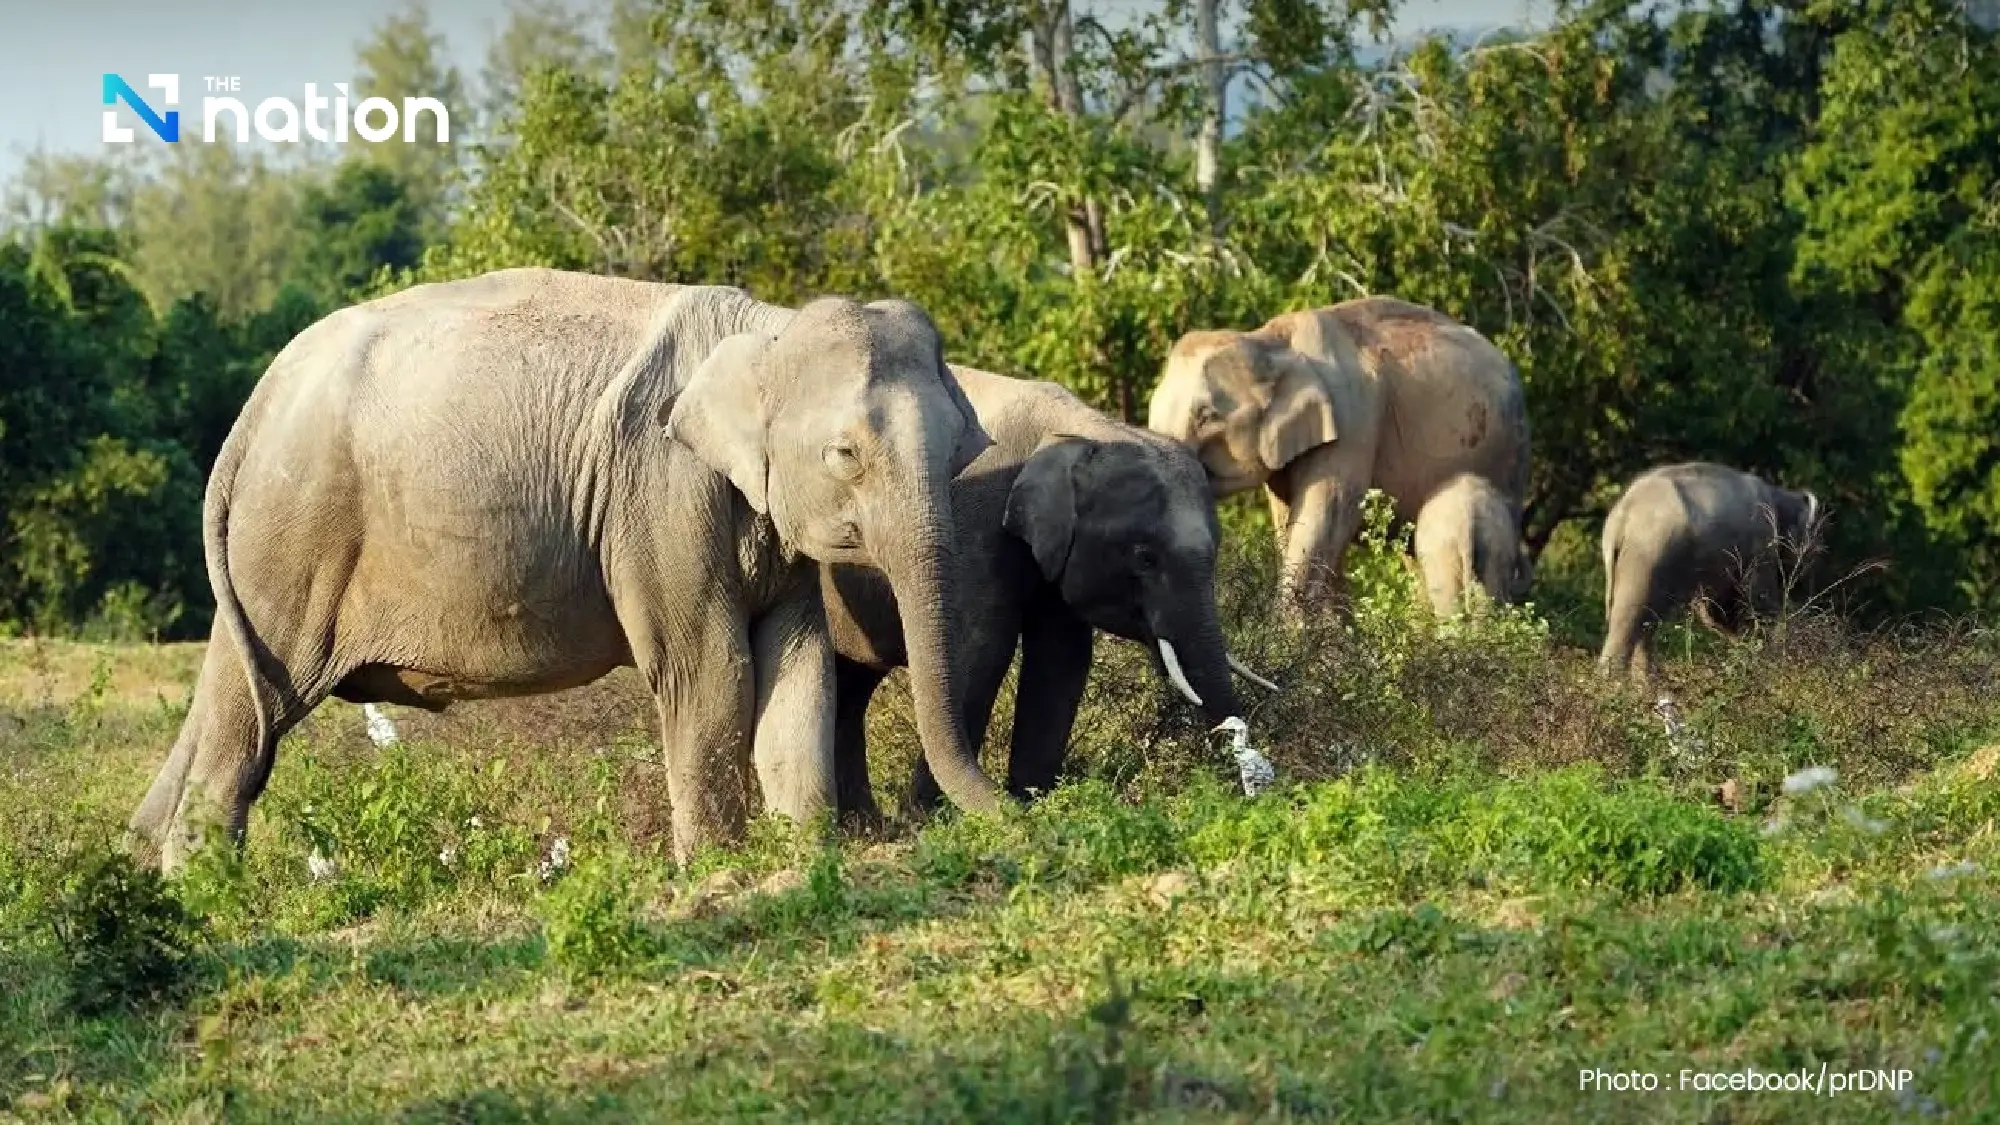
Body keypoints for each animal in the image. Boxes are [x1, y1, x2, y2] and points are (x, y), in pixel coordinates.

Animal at [126, 267, 1007, 873]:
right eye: (845, 455)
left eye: (965, 447)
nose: (1020, 804)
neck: (766, 330)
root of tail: (253, 410)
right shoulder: (657, 488)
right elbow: (707, 669)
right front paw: (718, 871)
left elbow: (798, 666)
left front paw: (806, 856)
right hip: (293, 537)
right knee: (252, 712)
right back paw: (207, 887)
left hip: (268, 554)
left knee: (224, 694)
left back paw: (151, 869)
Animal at [821, 365, 1276, 823]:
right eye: (1146, 558)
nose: (1247, 786)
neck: (1081, 429)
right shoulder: (975, 523)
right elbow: (980, 651)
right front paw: (934, 822)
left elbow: (1061, 657)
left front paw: (1038, 803)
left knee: (853, 686)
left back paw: (863, 827)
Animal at [1597, 461, 1823, 682]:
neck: (1777, 494)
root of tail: (1621, 519)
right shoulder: (1761, 542)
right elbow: (1756, 604)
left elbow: (1718, 612)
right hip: (1648, 555)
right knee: (1631, 619)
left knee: (1644, 625)